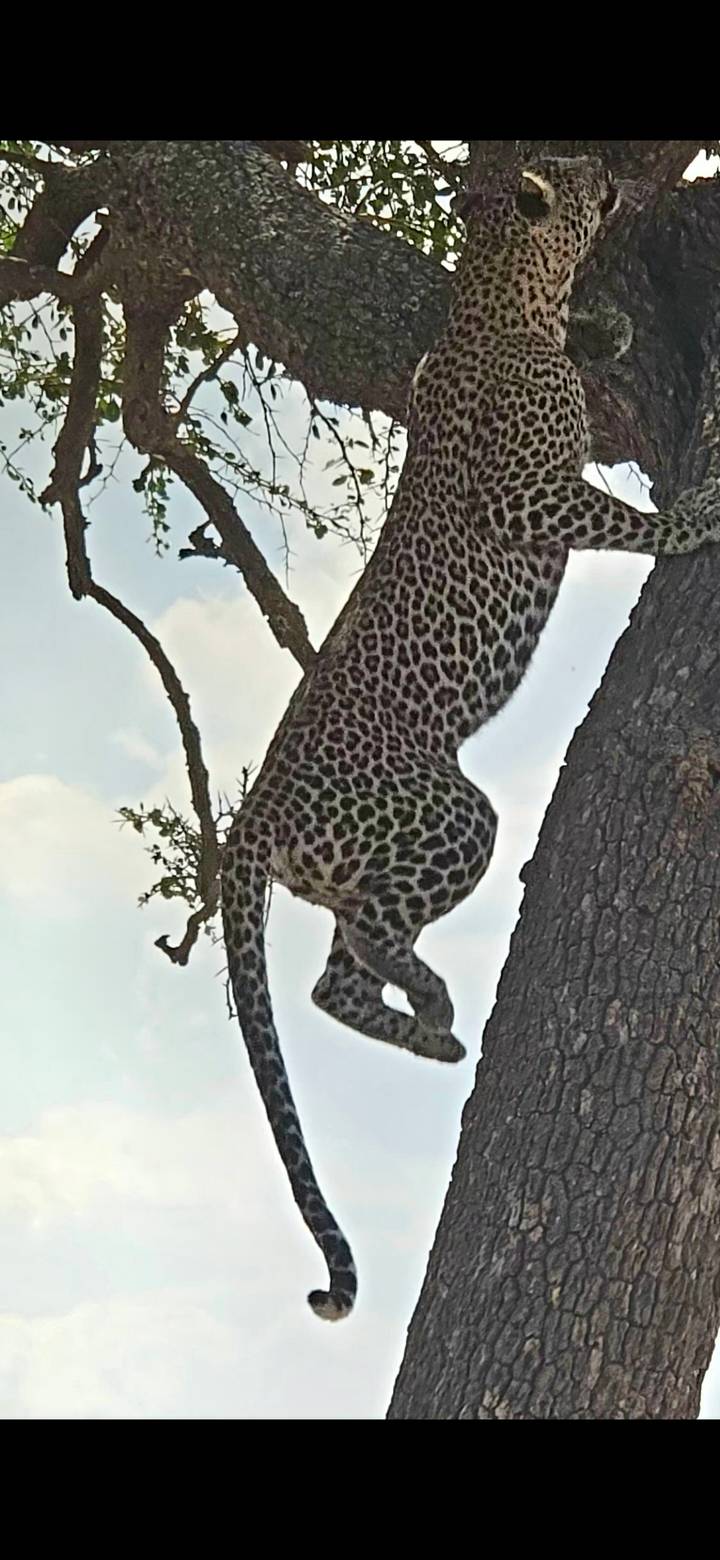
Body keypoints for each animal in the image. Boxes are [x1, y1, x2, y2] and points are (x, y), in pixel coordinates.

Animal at [220, 154, 720, 1322]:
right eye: (576, 176)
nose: (610, 173)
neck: (498, 303)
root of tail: (255, 811)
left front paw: (606, 330)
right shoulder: (529, 495)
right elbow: (631, 521)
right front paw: (700, 510)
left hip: (380, 854)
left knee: (337, 975)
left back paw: (435, 1026)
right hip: (450, 811)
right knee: (355, 952)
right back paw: (440, 1002)